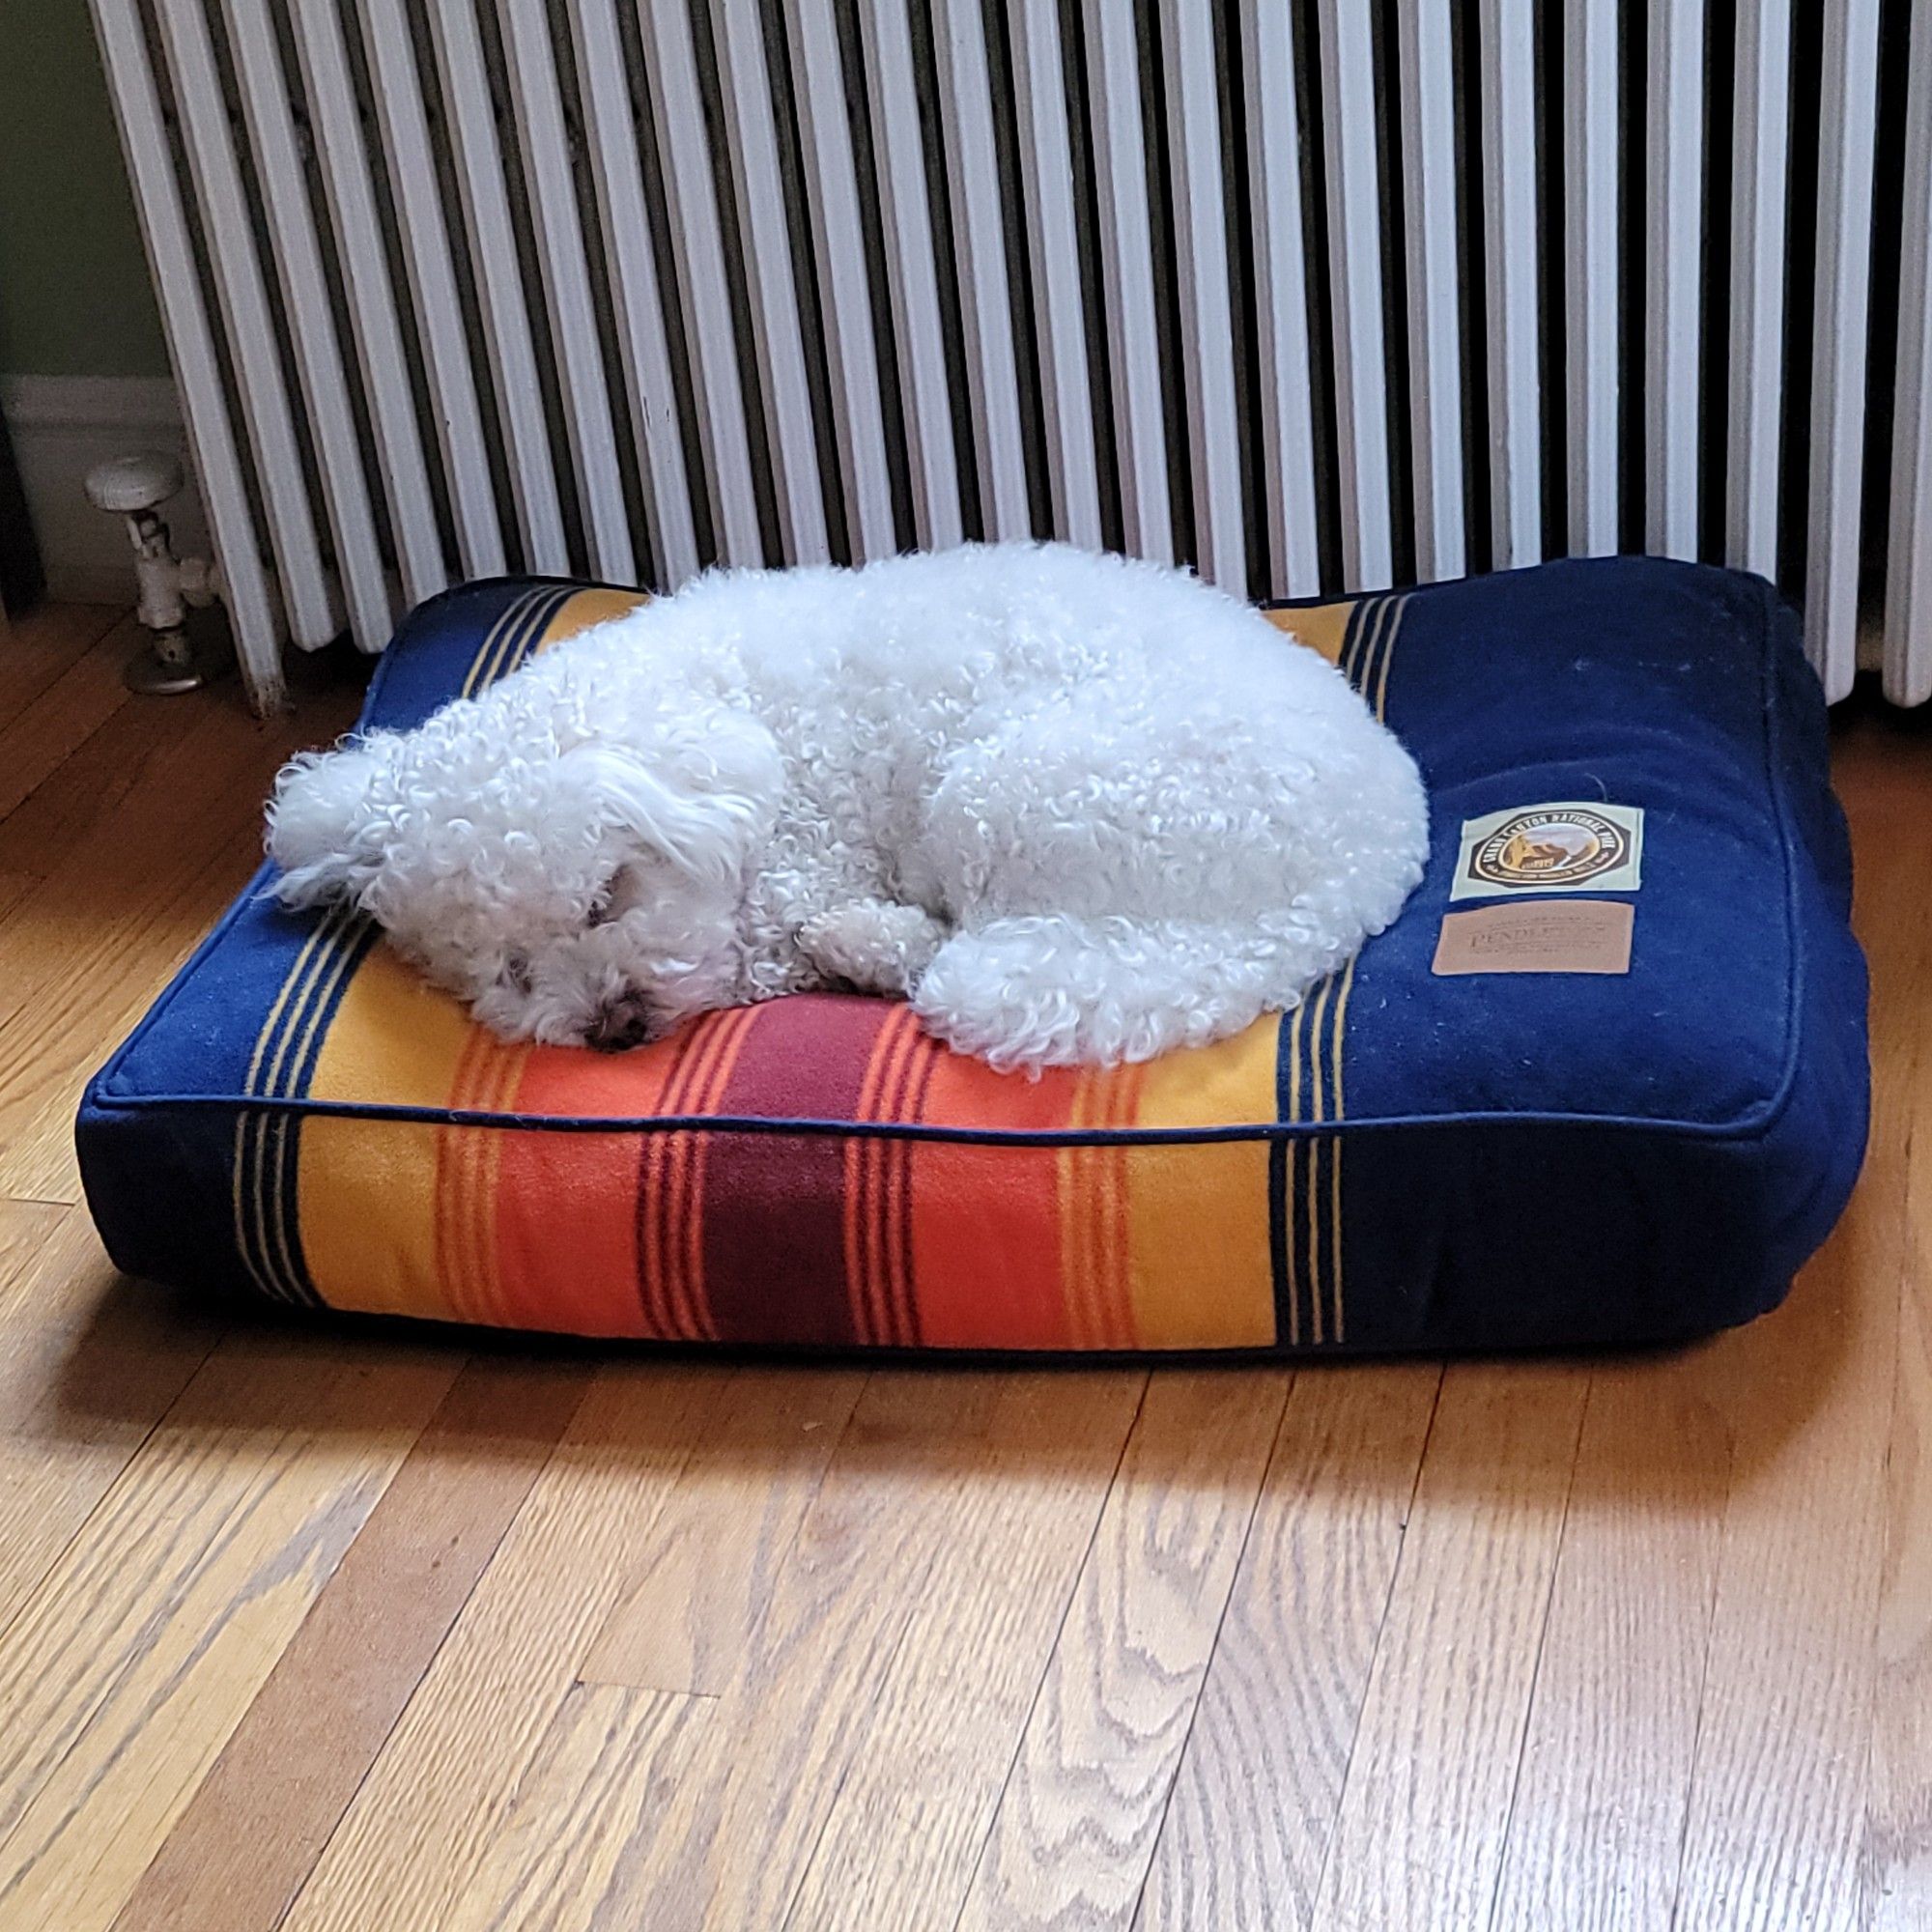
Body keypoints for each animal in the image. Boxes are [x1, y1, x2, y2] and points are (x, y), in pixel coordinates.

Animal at [265, 549, 1430, 1074]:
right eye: (505, 968)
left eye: (604, 898)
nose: (613, 1025)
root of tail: (1364, 871)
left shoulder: (791, 864)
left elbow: (759, 941)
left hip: (1004, 796)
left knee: (953, 946)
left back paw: (862, 941)